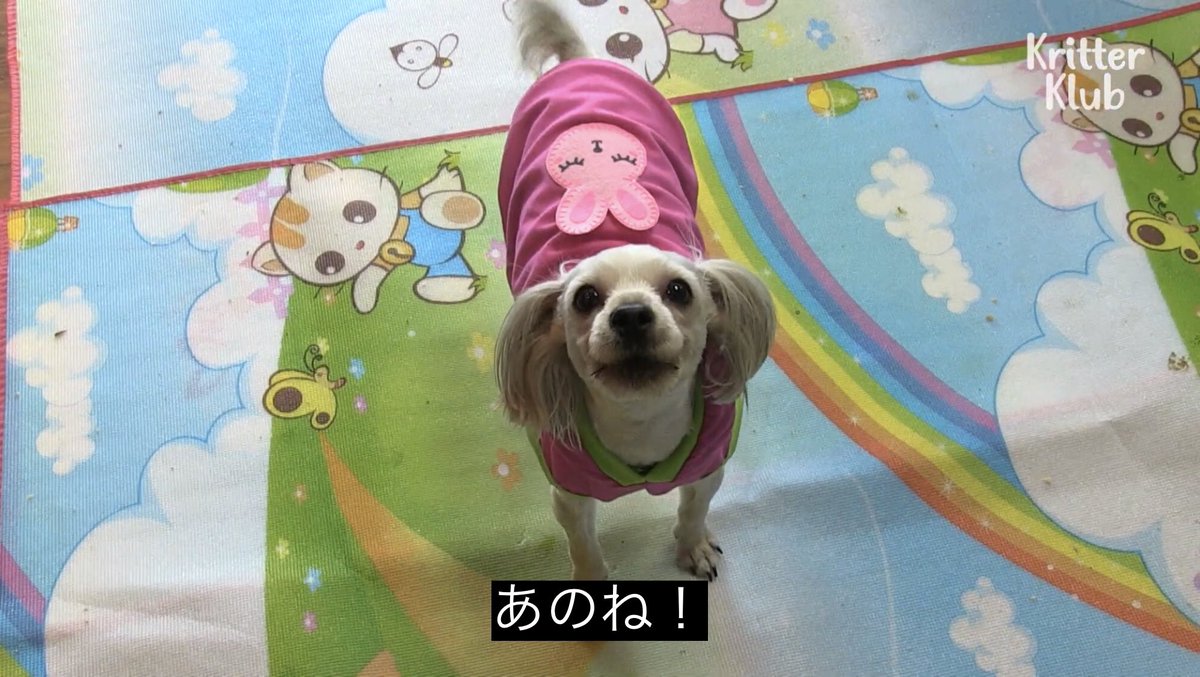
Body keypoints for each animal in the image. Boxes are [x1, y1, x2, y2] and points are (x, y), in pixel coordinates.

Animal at [494, 0, 776, 581]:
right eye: (584, 299)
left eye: (680, 290)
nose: (629, 314)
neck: (642, 424)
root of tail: (580, 63)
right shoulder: (569, 493)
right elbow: (583, 544)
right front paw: (589, 585)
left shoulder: (708, 468)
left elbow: (693, 510)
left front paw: (693, 547)